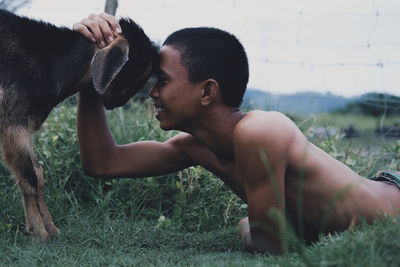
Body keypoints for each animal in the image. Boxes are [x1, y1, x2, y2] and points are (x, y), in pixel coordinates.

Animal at [0, 9, 159, 242]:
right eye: (135, 68)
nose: (115, 104)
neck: (47, 62)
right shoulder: (12, 122)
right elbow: (30, 176)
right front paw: (40, 233)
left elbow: (38, 175)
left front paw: (50, 229)